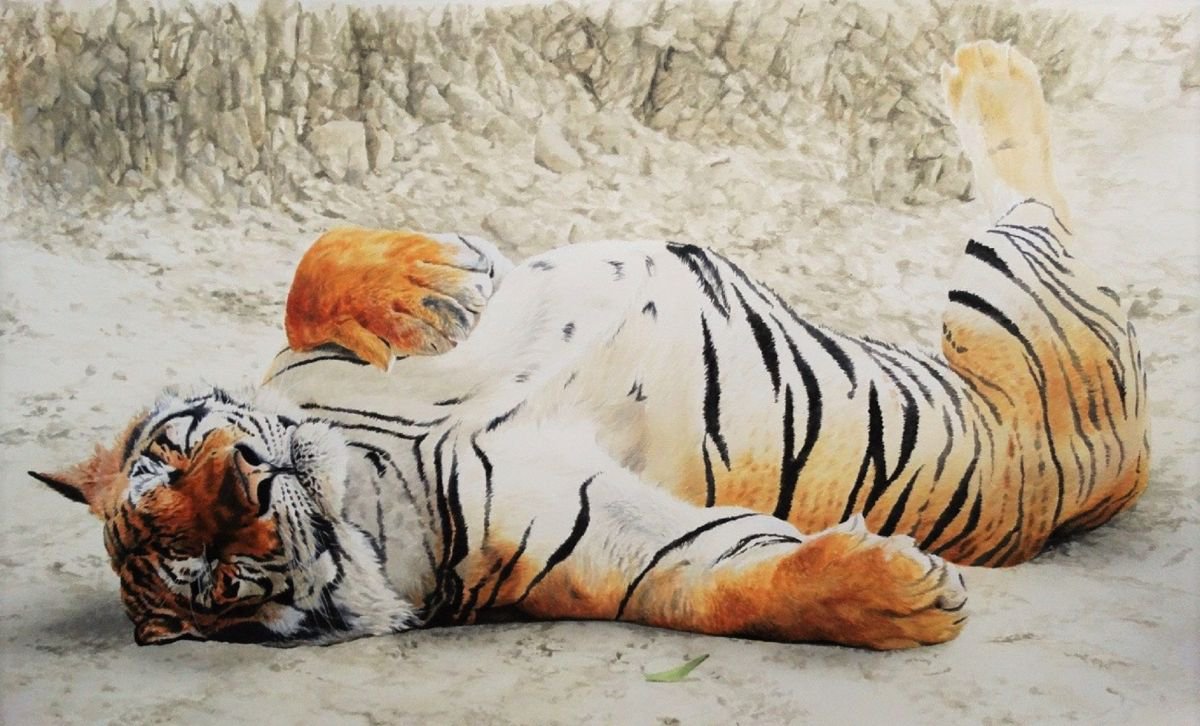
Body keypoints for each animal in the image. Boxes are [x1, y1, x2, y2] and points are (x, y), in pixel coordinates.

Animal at [33, 41, 1148, 650]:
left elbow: (316, 266)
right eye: (215, 575)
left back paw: (985, 61)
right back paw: (990, 68)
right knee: (1032, 200)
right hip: (1006, 296)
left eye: (180, 456)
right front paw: (898, 597)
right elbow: (731, 583)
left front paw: (430, 284)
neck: (370, 474)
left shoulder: (304, 360)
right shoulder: (617, 546)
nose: (246, 480)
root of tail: (1128, 465)